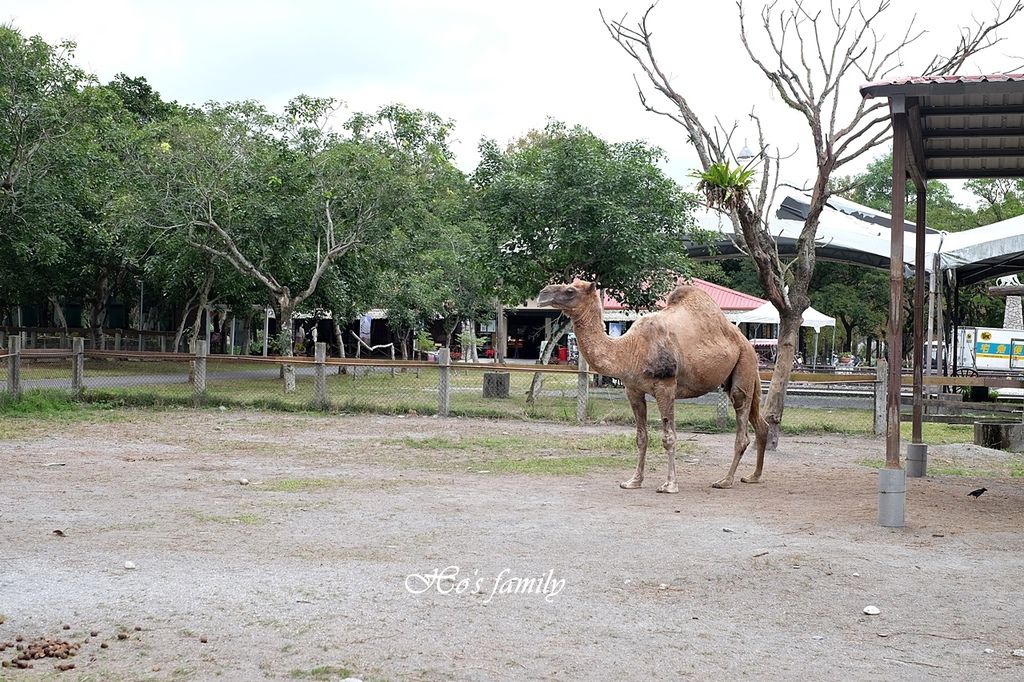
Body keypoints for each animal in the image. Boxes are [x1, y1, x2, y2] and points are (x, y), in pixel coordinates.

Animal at [540, 278, 765, 491]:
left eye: (570, 290)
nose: (543, 293)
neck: (630, 349)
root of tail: (745, 342)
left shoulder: (665, 387)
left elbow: (669, 437)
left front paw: (670, 485)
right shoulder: (633, 390)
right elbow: (641, 437)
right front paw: (633, 481)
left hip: (744, 366)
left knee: (742, 425)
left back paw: (725, 480)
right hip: (737, 375)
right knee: (761, 424)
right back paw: (753, 476)